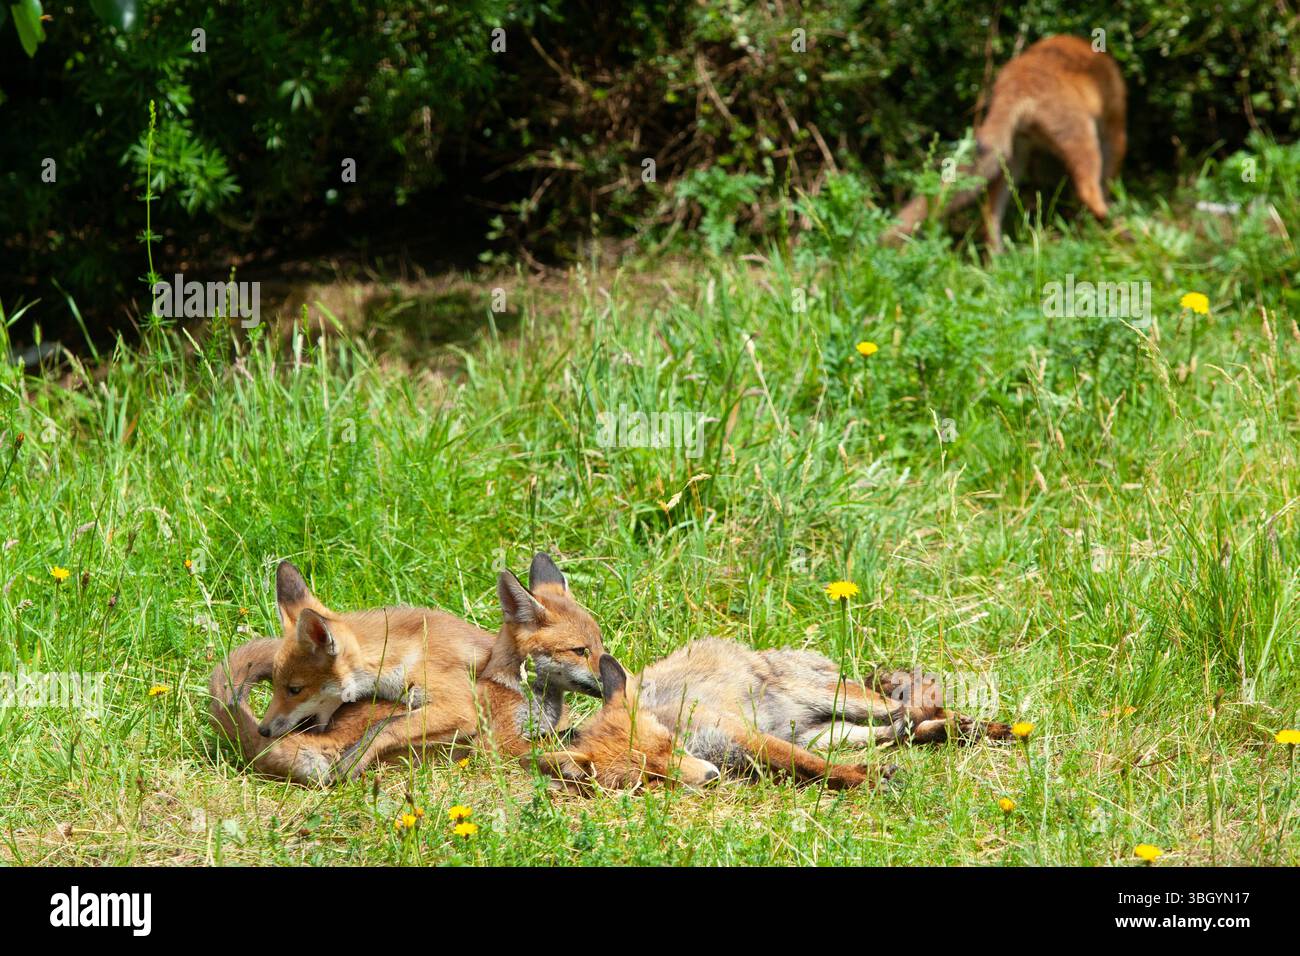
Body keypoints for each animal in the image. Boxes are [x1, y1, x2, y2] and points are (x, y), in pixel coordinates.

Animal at [530, 638, 1011, 792]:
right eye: (651, 779)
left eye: (668, 745)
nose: (710, 778)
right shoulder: (747, 753)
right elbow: (814, 769)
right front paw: (865, 776)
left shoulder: (742, 734)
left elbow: (814, 767)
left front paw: (867, 779)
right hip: (832, 732)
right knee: (904, 729)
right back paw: (946, 731)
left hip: (846, 701)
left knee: (911, 707)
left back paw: (977, 725)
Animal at [883, 35, 1126, 253]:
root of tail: (1016, 83)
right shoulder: (1115, 129)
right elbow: (1108, 178)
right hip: (1081, 139)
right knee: (1089, 192)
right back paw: (1118, 226)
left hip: (1011, 160)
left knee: (989, 214)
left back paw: (997, 261)